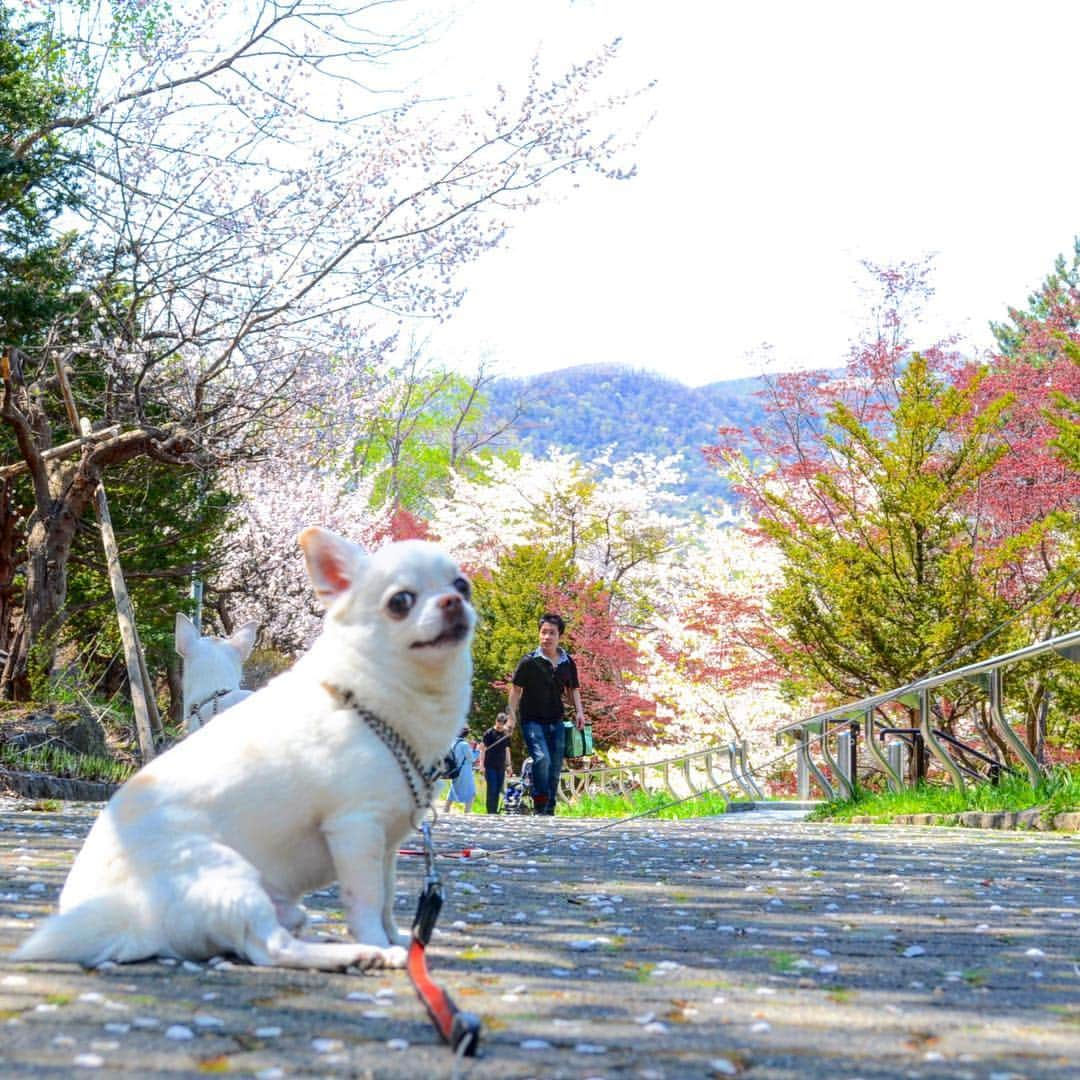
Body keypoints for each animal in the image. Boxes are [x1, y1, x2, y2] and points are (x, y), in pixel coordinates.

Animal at [14, 529, 475, 972]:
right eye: (400, 602)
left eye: (462, 585)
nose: (454, 600)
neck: (374, 703)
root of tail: (130, 917)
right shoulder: (356, 830)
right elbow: (365, 901)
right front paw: (381, 944)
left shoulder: (387, 843)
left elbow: (386, 898)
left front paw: (401, 940)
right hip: (229, 873)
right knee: (270, 949)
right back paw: (355, 955)